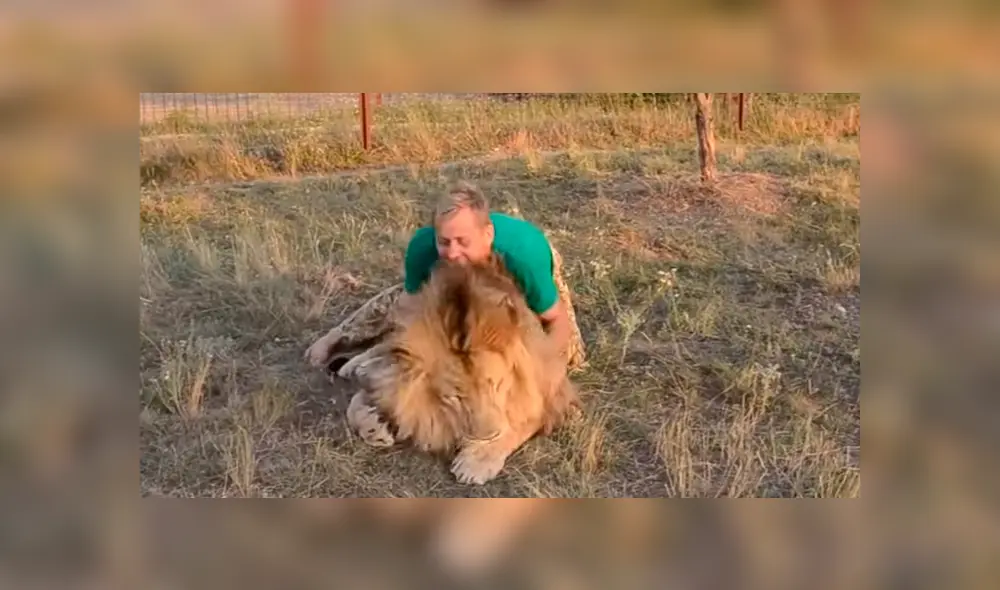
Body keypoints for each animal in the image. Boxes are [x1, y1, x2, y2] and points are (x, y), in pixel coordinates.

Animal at [337, 253, 581, 485]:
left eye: (496, 385)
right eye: (455, 398)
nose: (489, 433)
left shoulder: (552, 392)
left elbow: (522, 423)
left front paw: (476, 463)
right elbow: (363, 402)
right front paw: (376, 427)